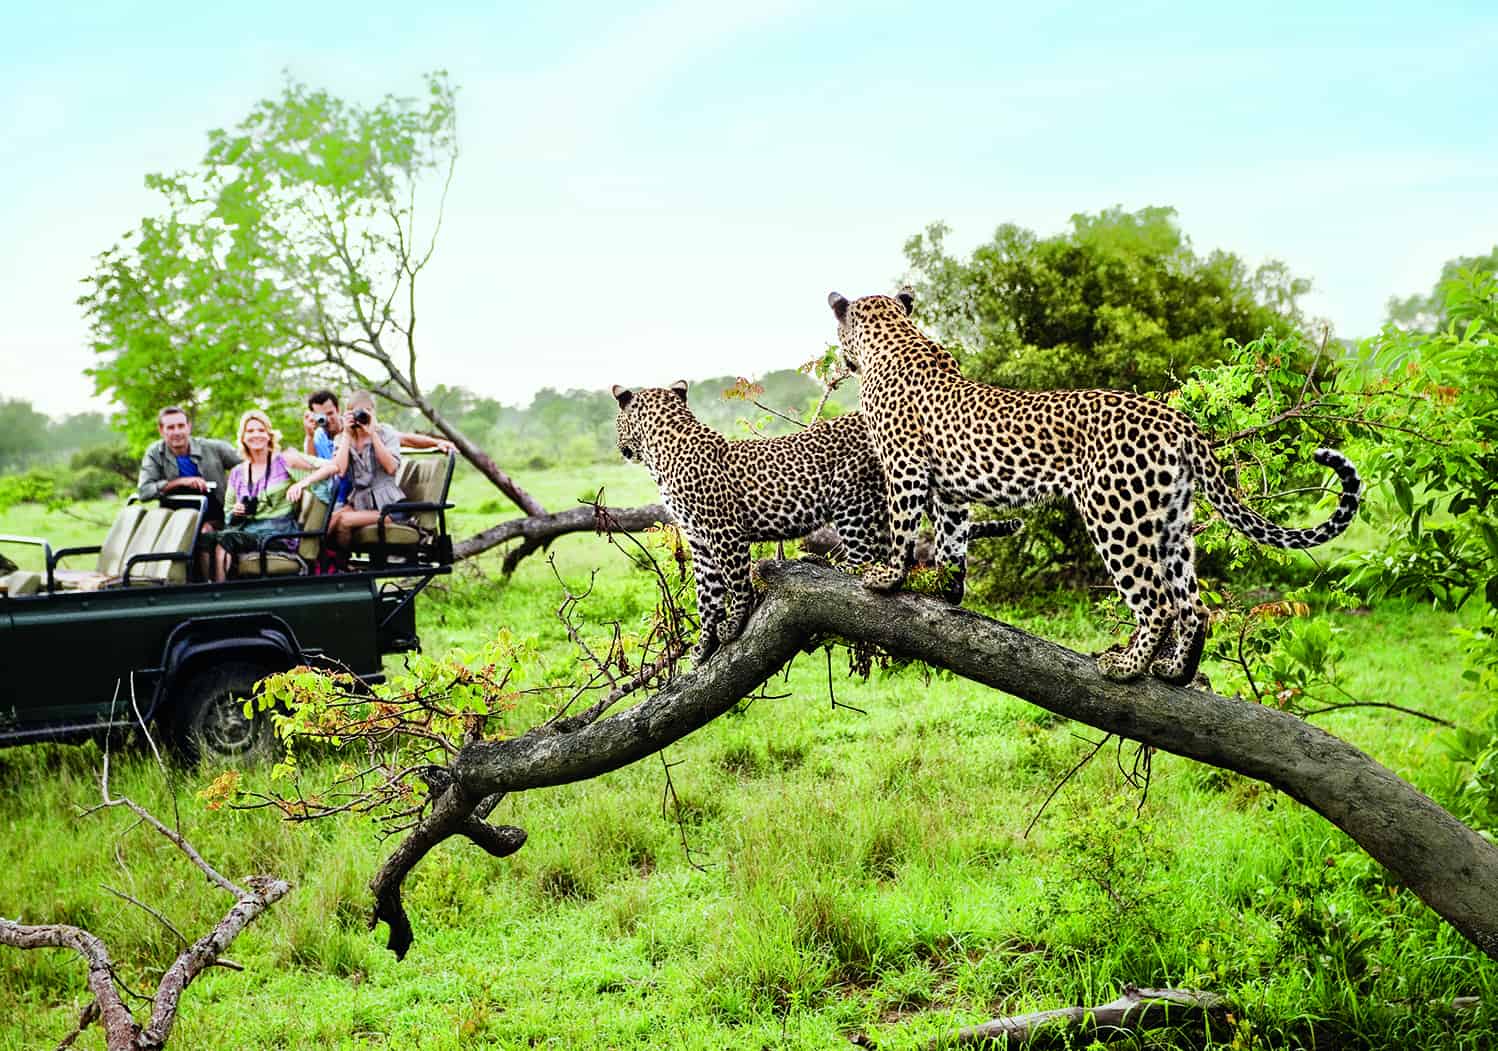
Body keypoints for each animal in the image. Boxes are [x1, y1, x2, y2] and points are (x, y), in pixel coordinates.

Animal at [608, 383, 1018, 661]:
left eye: (616, 422)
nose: (619, 447)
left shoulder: (725, 533)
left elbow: (736, 584)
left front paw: (734, 623)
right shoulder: (699, 540)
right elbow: (706, 595)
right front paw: (703, 646)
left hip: (853, 500)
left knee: (864, 563)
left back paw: (825, 564)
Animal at [826, 291, 1366, 688]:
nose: (841, 362)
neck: (895, 338)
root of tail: (1179, 421)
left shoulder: (904, 468)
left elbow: (903, 527)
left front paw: (887, 577)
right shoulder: (952, 492)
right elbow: (951, 541)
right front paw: (947, 590)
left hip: (1115, 515)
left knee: (1158, 602)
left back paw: (1126, 668)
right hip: (1170, 522)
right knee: (1193, 604)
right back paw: (1174, 672)